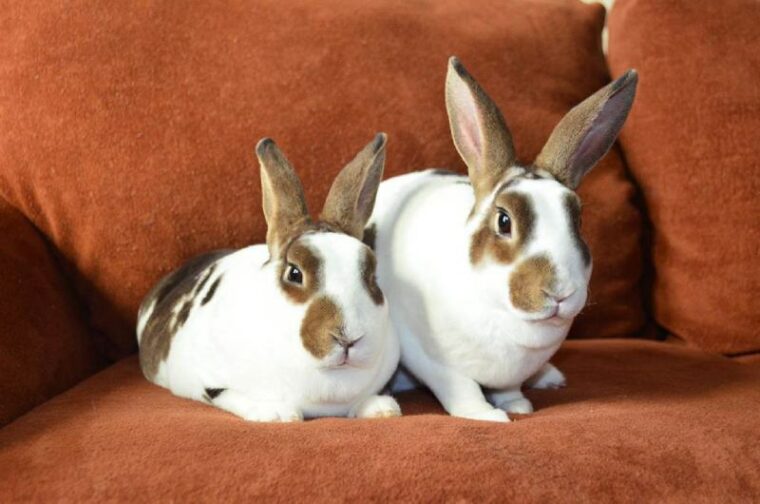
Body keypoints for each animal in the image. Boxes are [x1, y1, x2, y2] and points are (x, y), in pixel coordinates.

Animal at [136, 133, 401, 422]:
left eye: (372, 276)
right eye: (294, 273)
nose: (348, 337)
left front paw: (382, 409)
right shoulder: (211, 383)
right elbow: (233, 396)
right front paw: (279, 414)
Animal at [368, 57, 637, 422]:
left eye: (578, 221)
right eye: (504, 221)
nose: (559, 292)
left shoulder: (511, 374)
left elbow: (510, 389)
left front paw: (518, 405)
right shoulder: (430, 357)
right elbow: (461, 388)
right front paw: (487, 415)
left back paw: (551, 377)